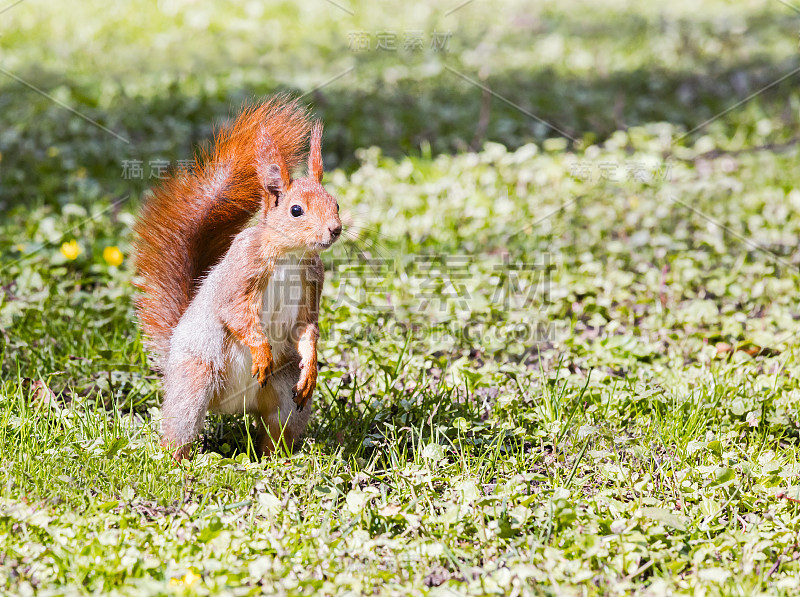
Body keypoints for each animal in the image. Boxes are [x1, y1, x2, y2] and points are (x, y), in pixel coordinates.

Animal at [134, 96, 340, 460]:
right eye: (296, 210)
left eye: (336, 204)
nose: (335, 229)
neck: (289, 255)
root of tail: (233, 405)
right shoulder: (242, 270)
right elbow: (235, 313)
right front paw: (261, 352)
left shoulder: (313, 280)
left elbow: (307, 327)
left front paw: (312, 366)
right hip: (195, 380)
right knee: (180, 428)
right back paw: (176, 461)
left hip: (286, 395)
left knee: (277, 428)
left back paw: (274, 459)